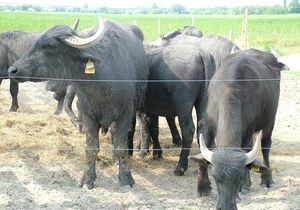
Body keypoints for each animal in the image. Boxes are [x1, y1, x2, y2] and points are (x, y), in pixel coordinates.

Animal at [8, 18, 149, 188]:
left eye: (50, 46)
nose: (13, 70)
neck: (102, 83)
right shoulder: (87, 114)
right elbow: (91, 147)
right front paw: (88, 178)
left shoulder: (125, 114)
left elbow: (121, 147)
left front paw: (126, 177)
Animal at [190, 48, 288, 210]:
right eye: (215, 177)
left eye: (238, 177)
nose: (226, 207)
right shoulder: (207, 124)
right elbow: (203, 155)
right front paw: (202, 187)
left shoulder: (248, 131)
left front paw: (242, 187)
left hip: (270, 121)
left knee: (265, 146)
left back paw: (265, 179)